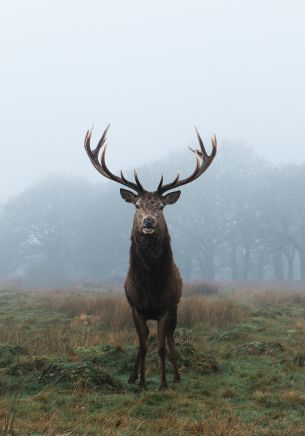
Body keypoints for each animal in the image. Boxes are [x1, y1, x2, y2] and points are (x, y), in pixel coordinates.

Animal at [83, 125, 216, 388]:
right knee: (143, 341)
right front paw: (142, 382)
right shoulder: (136, 307)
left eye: (161, 207)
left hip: (176, 308)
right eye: (137, 205)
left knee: (171, 339)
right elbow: (143, 346)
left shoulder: (166, 307)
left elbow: (161, 347)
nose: (148, 222)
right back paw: (133, 377)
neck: (151, 286)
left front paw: (163, 383)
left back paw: (176, 376)